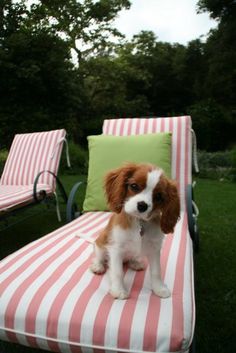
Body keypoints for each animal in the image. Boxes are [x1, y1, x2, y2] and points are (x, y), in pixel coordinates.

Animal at [89, 162, 180, 296]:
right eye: (134, 186)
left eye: (158, 196)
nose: (142, 205)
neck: (139, 222)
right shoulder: (116, 248)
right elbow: (117, 272)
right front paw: (119, 291)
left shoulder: (154, 248)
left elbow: (156, 271)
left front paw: (159, 288)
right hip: (100, 243)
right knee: (99, 257)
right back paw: (98, 266)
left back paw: (135, 262)